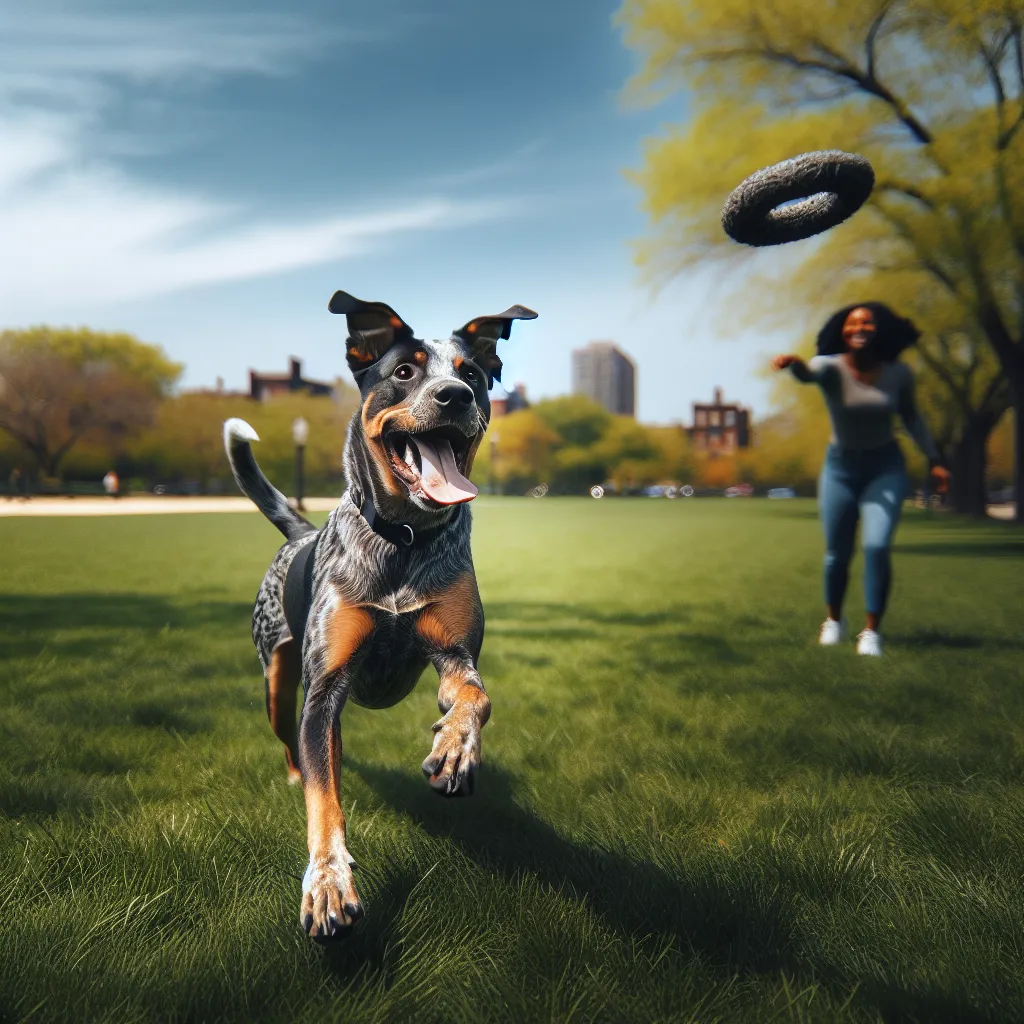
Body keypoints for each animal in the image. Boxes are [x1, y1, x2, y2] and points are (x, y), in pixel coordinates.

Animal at [223, 292, 536, 937]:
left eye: (472, 373)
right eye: (404, 371)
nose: (454, 396)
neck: (405, 540)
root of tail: (300, 534)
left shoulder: (454, 652)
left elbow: (474, 697)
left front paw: (455, 748)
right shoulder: (324, 689)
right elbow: (324, 803)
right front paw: (327, 884)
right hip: (278, 681)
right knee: (297, 743)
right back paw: (297, 771)